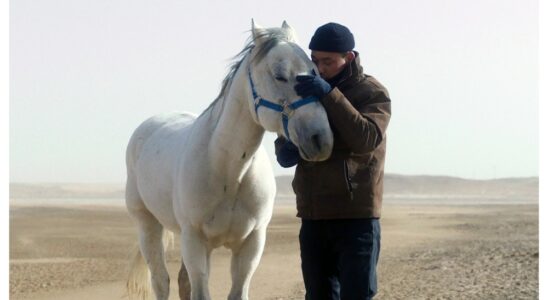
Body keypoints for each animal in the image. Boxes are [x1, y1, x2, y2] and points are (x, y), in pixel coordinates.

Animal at [125, 21, 334, 300]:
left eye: (315, 72)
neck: (228, 171)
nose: (320, 139)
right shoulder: (195, 241)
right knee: (161, 280)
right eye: (279, 75)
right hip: (148, 225)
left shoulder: (251, 245)